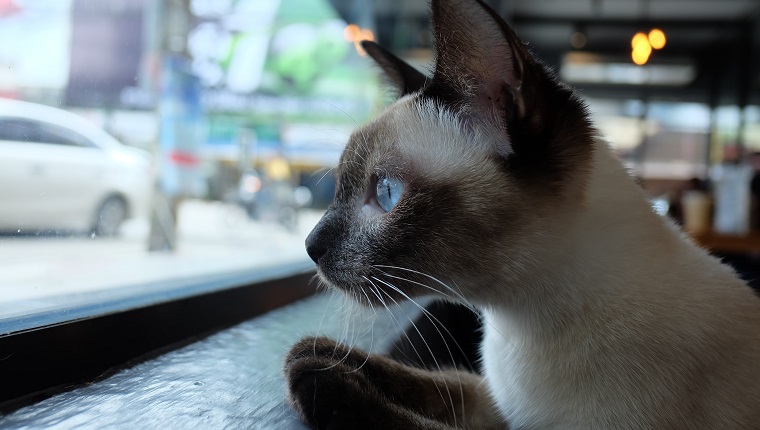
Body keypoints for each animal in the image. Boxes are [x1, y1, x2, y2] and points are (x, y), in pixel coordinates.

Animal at [282, 0, 760, 428]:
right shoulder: (496, 404)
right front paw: (317, 355)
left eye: (385, 193)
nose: (310, 246)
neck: (515, 326)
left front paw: (321, 376)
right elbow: (435, 382)